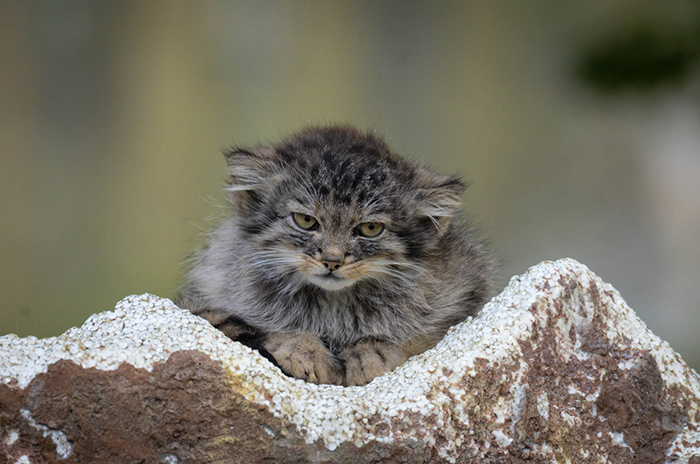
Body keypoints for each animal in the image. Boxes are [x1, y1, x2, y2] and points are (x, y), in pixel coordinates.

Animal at [178, 125, 494, 386]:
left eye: (370, 228)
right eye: (306, 221)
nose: (332, 260)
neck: (332, 308)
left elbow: (416, 337)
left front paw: (371, 352)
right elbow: (267, 327)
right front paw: (303, 349)